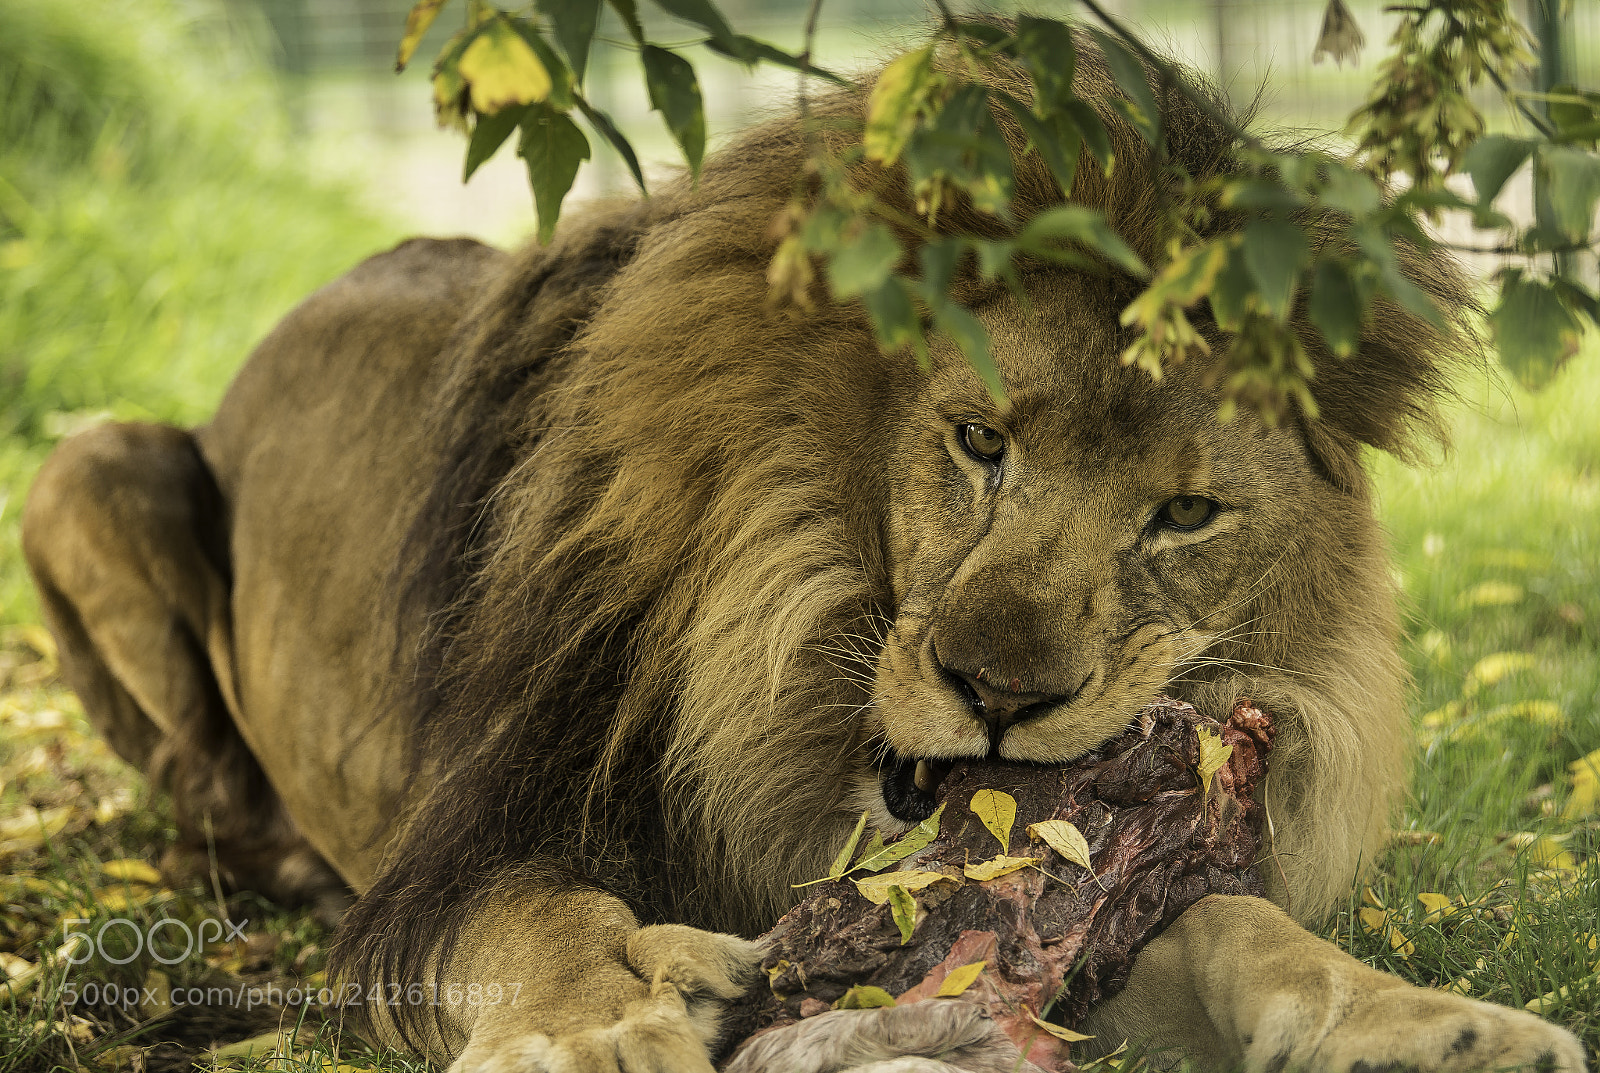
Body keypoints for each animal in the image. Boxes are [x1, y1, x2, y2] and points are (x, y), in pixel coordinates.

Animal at [20, 35, 1586, 1073]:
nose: (1000, 694)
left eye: (1185, 516)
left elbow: (1237, 927)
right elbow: (544, 921)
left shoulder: (1015, 896)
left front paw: (1428, 1024)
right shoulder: (467, 849)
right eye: (977, 440)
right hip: (87, 470)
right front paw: (605, 1028)